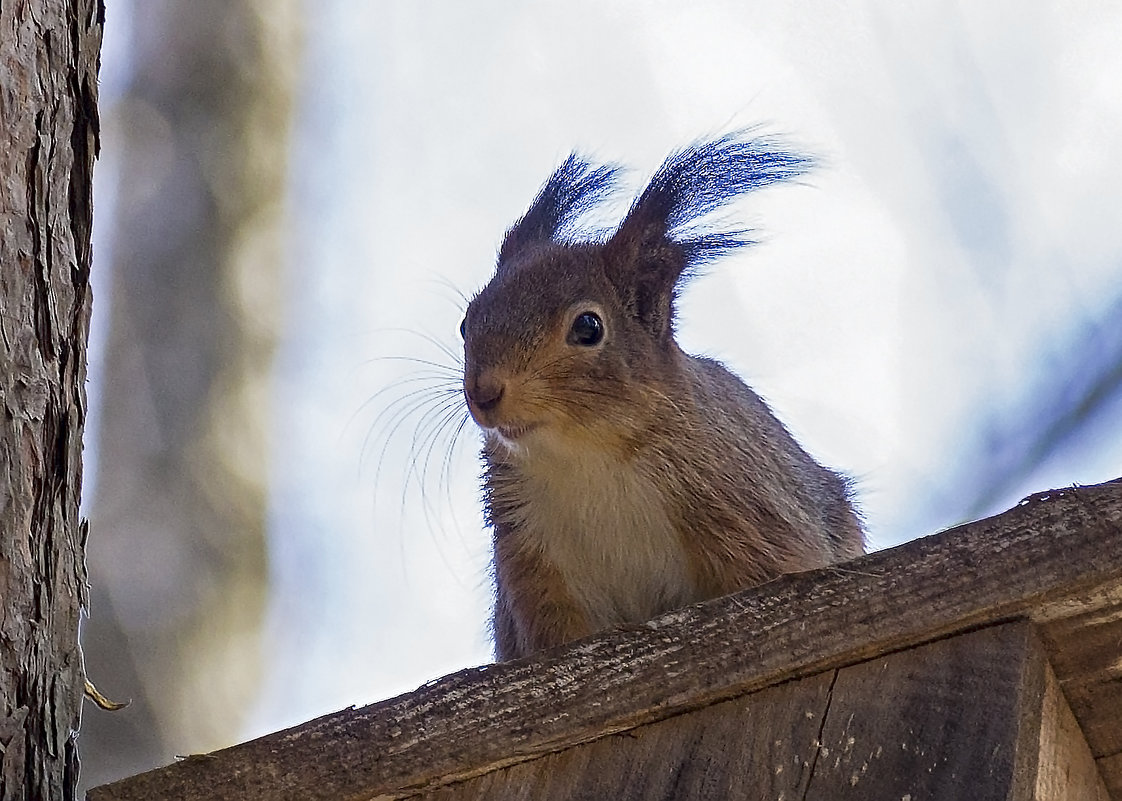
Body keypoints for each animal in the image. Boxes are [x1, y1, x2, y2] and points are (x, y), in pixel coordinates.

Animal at [460, 131, 861, 659]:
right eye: (466, 322)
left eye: (588, 327)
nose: (483, 393)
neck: (586, 455)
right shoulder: (533, 561)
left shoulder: (744, 505)